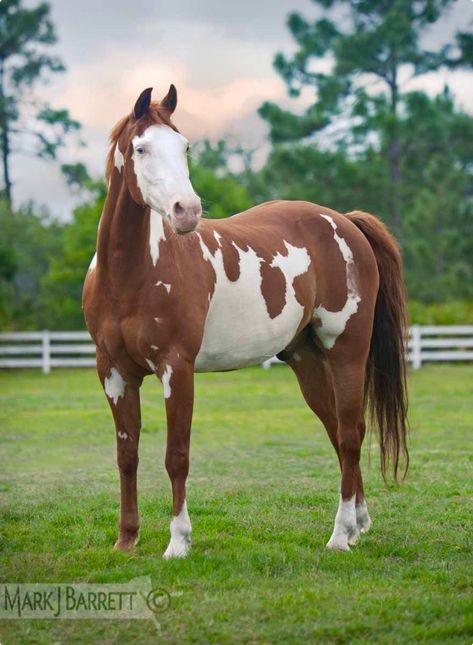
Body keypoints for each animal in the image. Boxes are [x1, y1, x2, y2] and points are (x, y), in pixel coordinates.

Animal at [83, 85, 408, 560]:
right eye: (141, 149)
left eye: (184, 147)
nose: (186, 211)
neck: (130, 275)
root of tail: (344, 223)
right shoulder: (114, 373)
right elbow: (127, 455)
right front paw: (126, 540)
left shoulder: (176, 368)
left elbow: (176, 456)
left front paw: (178, 542)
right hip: (307, 360)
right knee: (337, 432)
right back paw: (358, 525)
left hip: (346, 351)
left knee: (350, 433)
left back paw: (339, 534)